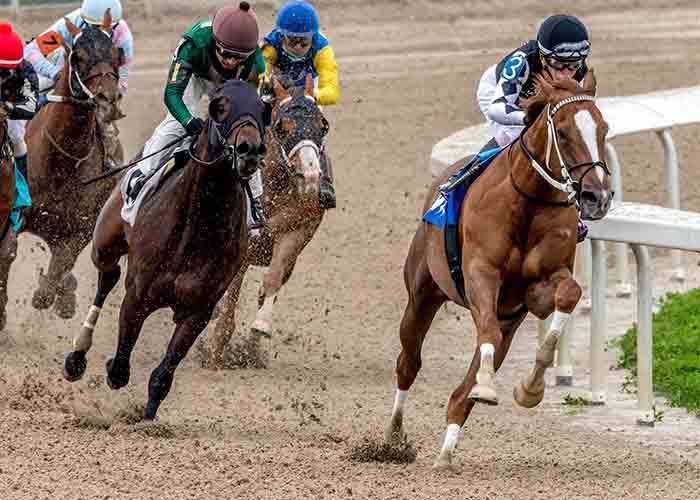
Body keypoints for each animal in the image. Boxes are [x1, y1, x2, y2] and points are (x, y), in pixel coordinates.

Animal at [0, 12, 121, 328]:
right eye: (78, 56)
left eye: (117, 54)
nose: (107, 99)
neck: (61, 164)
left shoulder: (77, 231)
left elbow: (49, 286)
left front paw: (61, 295)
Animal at [63, 80, 266, 420]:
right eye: (221, 107)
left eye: (263, 108)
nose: (249, 150)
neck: (199, 225)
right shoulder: (138, 294)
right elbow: (120, 366)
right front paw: (109, 367)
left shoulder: (199, 310)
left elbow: (163, 374)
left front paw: (147, 418)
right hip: (105, 242)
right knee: (107, 278)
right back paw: (77, 356)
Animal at [202, 74, 328, 368]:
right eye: (282, 126)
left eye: (323, 125)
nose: (310, 176)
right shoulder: (242, 247)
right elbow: (229, 298)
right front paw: (215, 351)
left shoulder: (294, 233)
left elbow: (272, 278)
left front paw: (260, 328)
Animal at [386, 71, 608, 468]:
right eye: (563, 132)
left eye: (604, 129)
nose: (597, 197)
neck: (528, 202)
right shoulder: (481, 274)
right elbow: (484, 328)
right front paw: (489, 386)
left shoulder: (536, 291)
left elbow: (569, 294)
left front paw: (531, 388)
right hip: (422, 294)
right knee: (408, 362)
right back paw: (393, 439)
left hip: (510, 321)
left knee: (461, 396)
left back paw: (446, 452)